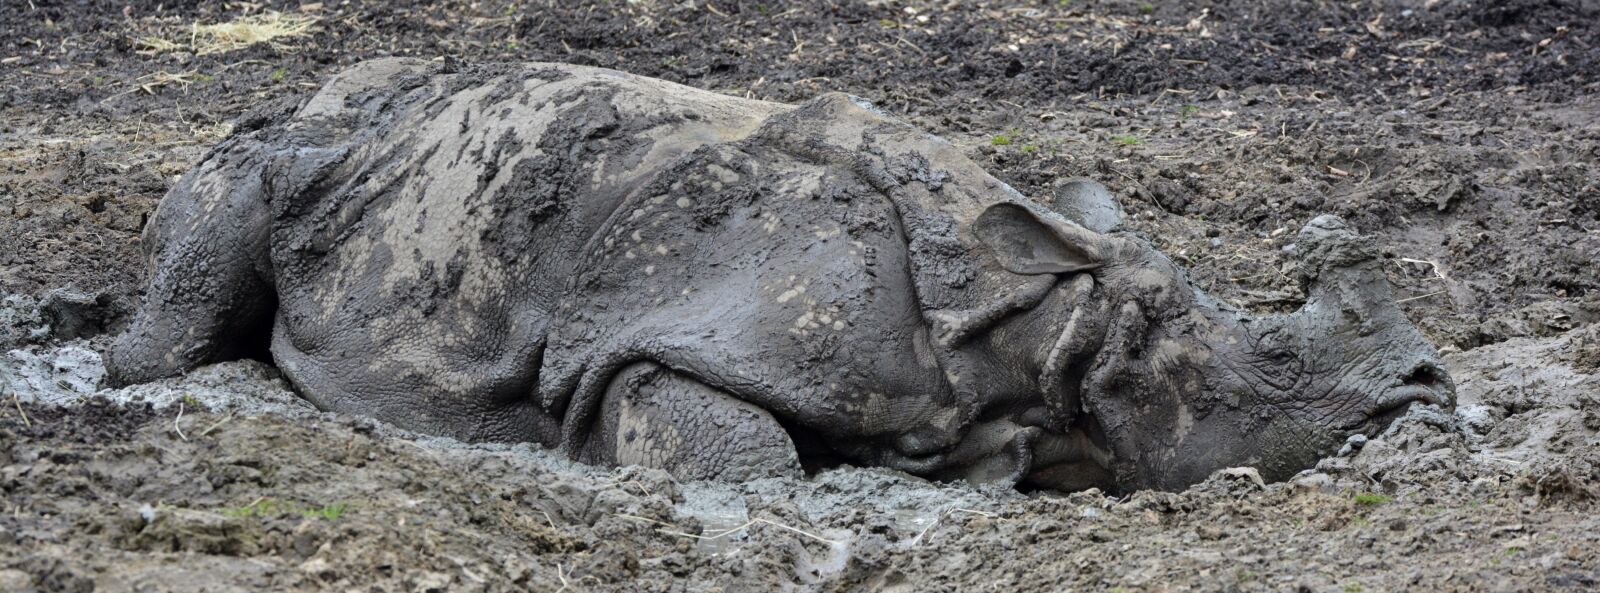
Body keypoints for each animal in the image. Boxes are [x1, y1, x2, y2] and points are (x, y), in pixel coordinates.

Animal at [105, 59, 1454, 492]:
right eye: (1274, 358)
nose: (1427, 385)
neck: (1043, 319)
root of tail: (337, 85)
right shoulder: (656, 340)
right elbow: (735, 448)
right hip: (305, 148)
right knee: (240, 203)